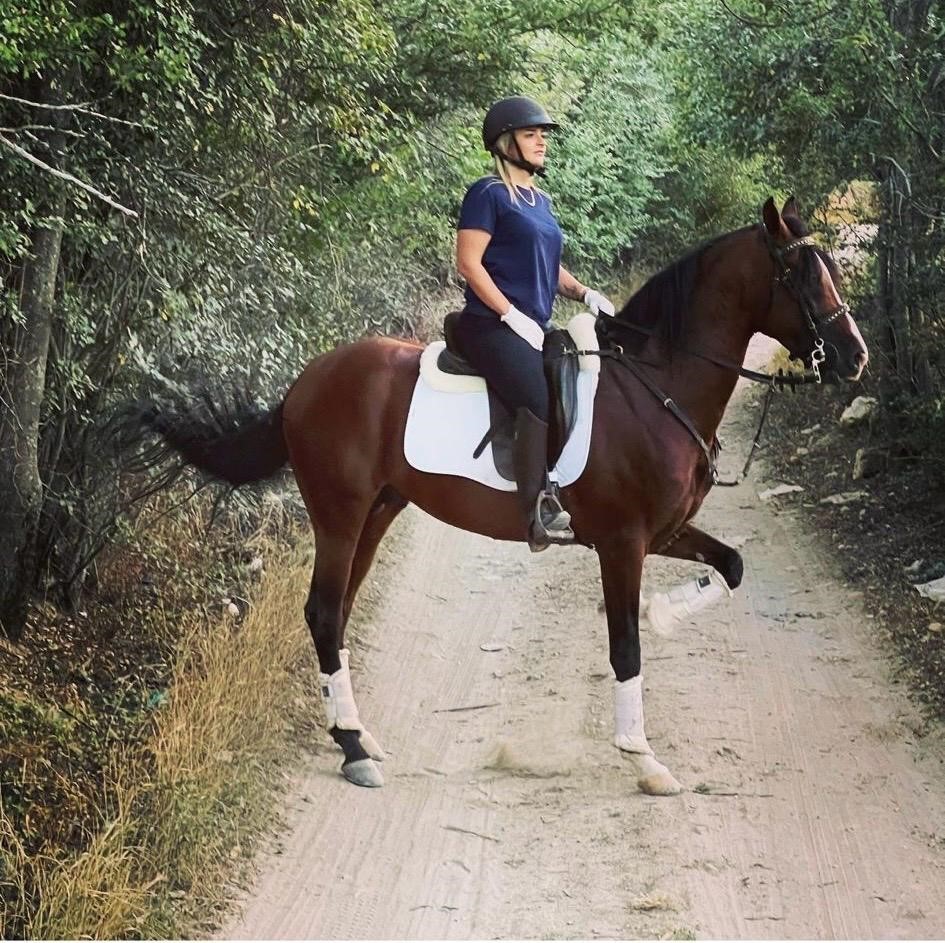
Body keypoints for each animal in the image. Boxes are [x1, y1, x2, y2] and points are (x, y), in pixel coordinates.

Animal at [133, 199, 872, 796]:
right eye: (802, 274)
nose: (855, 356)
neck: (657, 388)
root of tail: (305, 381)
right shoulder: (623, 543)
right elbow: (625, 648)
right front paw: (643, 758)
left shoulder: (663, 532)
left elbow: (731, 567)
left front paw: (667, 614)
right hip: (339, 514)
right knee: (321, 611)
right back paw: (351, 749)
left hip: (377, 511)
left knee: (335, 614)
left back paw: (358, 737)